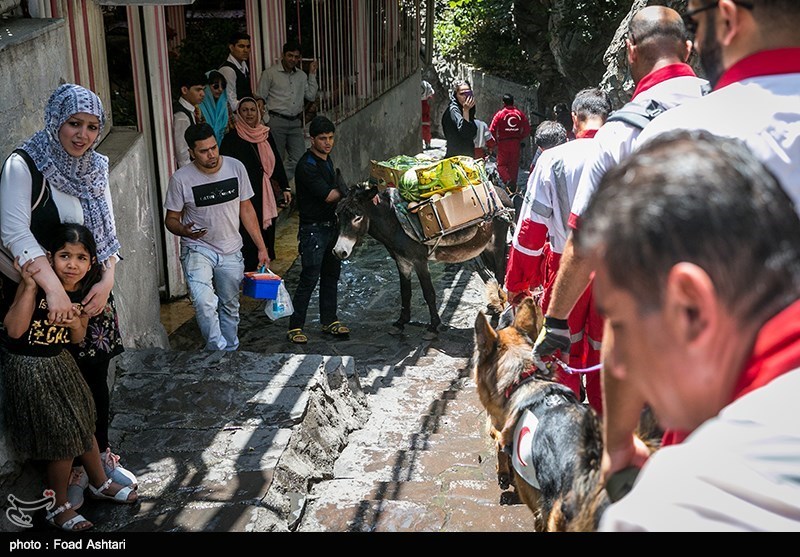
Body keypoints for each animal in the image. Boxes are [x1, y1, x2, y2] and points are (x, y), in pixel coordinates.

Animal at [332, 173, 513, 339]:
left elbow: (429, 293)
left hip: (497, 243)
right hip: (484, 248)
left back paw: (500, 307)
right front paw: (400, 323)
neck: (396, 224)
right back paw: (496, 304)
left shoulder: (419, 261)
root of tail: (501, 192)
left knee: (500, 271)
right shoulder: (402, 261)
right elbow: (405, 292)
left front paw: (433, 327)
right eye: (337, 214)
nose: (338, 251)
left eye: (357, 217)